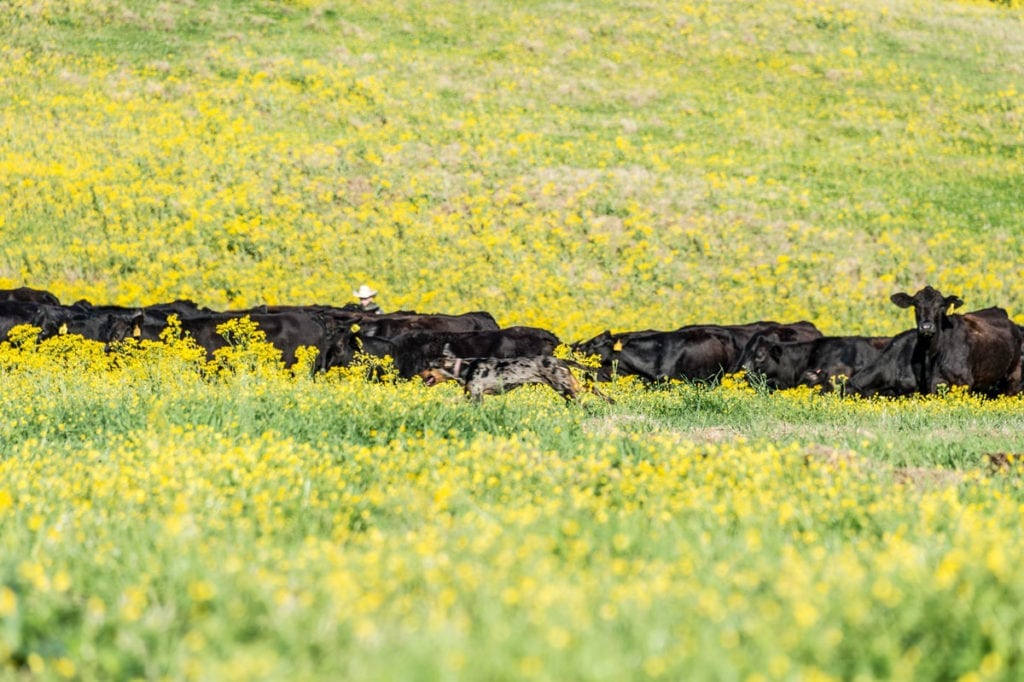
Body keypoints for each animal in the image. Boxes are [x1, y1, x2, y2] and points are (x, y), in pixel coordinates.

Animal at [419, 342, 610, 401]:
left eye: (428, 366)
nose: (418, 374)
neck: (465, 367)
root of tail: (559, 360)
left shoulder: (477, 396)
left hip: (563, 386)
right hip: (566, 386)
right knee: (589, 387)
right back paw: (610, 400)